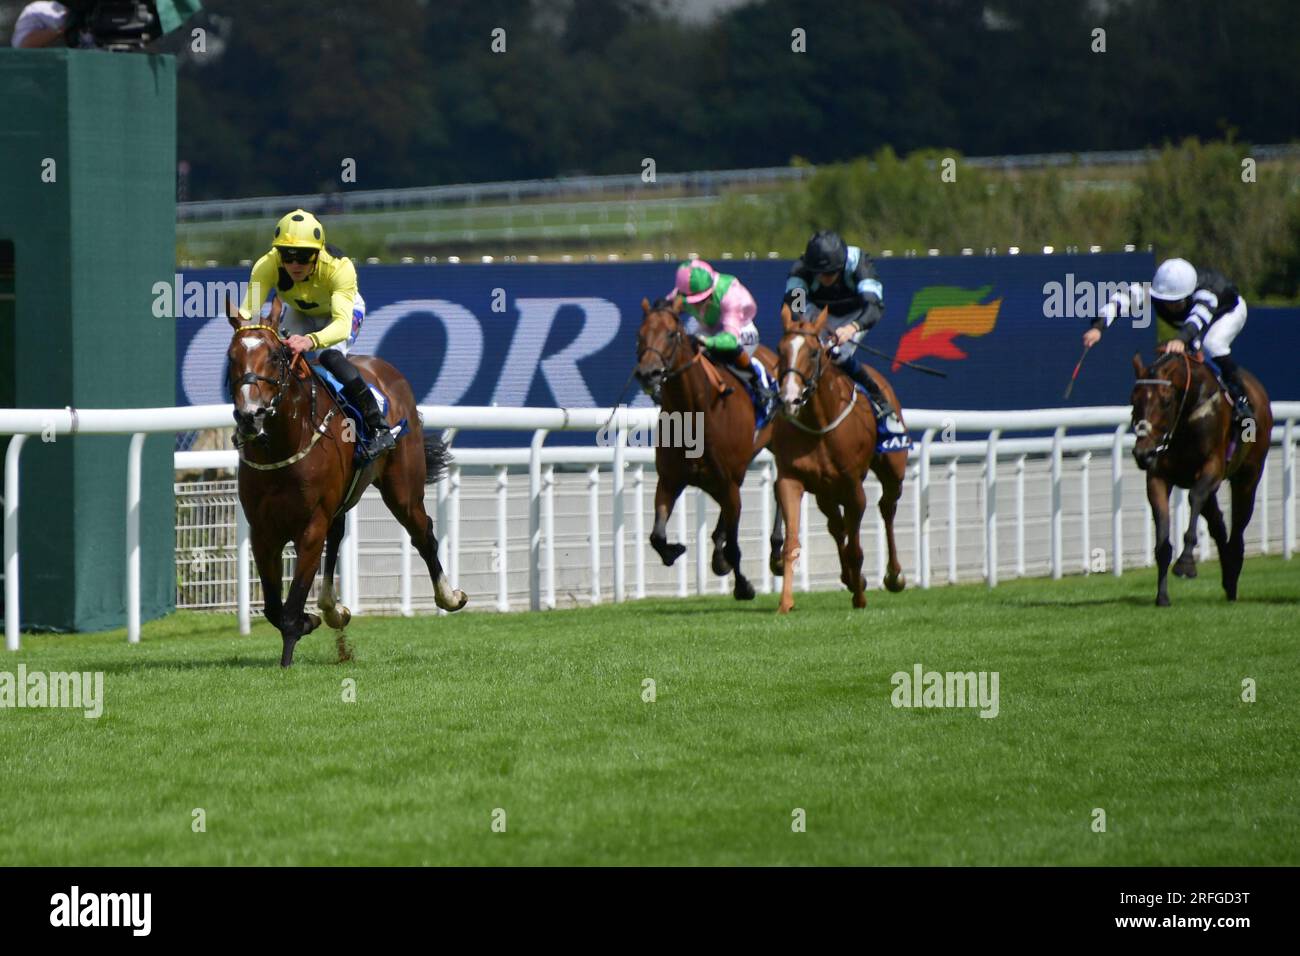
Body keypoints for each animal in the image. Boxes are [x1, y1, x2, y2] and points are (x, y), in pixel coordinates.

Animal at [224, 297, 467, 665]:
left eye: (276, 356)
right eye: (232, 356)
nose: (251, 416)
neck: (285, 442)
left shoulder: (311, 524)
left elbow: (291, 604)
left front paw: (292, 646)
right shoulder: (262, 530)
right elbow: (272, 607)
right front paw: (312, 619)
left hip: (402, 489)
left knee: (422, 533)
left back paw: (449, 597)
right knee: (338, 536)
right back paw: (332, 609)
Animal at [631, 295, 774, 600]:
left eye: (671, 334)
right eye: (639, 335)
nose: (648, 373)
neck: (695, 409)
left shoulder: (727, 481)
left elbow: (734, 546)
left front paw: (743, 586)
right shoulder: (670, 480)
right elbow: (656, 536)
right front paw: (674, 550)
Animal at [764, 304, 909, 613]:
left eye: (813, 352)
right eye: (780, 350)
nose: (790, 398)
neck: (819, 424)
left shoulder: (854, 488)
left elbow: (856, 548)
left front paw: (860, 597)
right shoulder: (791, 479)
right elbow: (792, 543)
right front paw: (785, 602)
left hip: (892, 470)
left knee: (887, 507)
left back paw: (894, 576)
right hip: (825, 492)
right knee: (836, 525)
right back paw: (852, 578)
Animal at [1128, 348, 1268, 606]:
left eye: (1165, 401)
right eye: (1134, 400)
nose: (1142, 454)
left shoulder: (1212, 468)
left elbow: (1194, 498)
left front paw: (1186, 564)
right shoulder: (1158, 477)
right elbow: (1163, 540)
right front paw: (1162, 596)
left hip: (1248, 477)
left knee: (1237, 526)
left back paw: (1233, 576)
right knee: (1218, 524)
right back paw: (1228, 575)